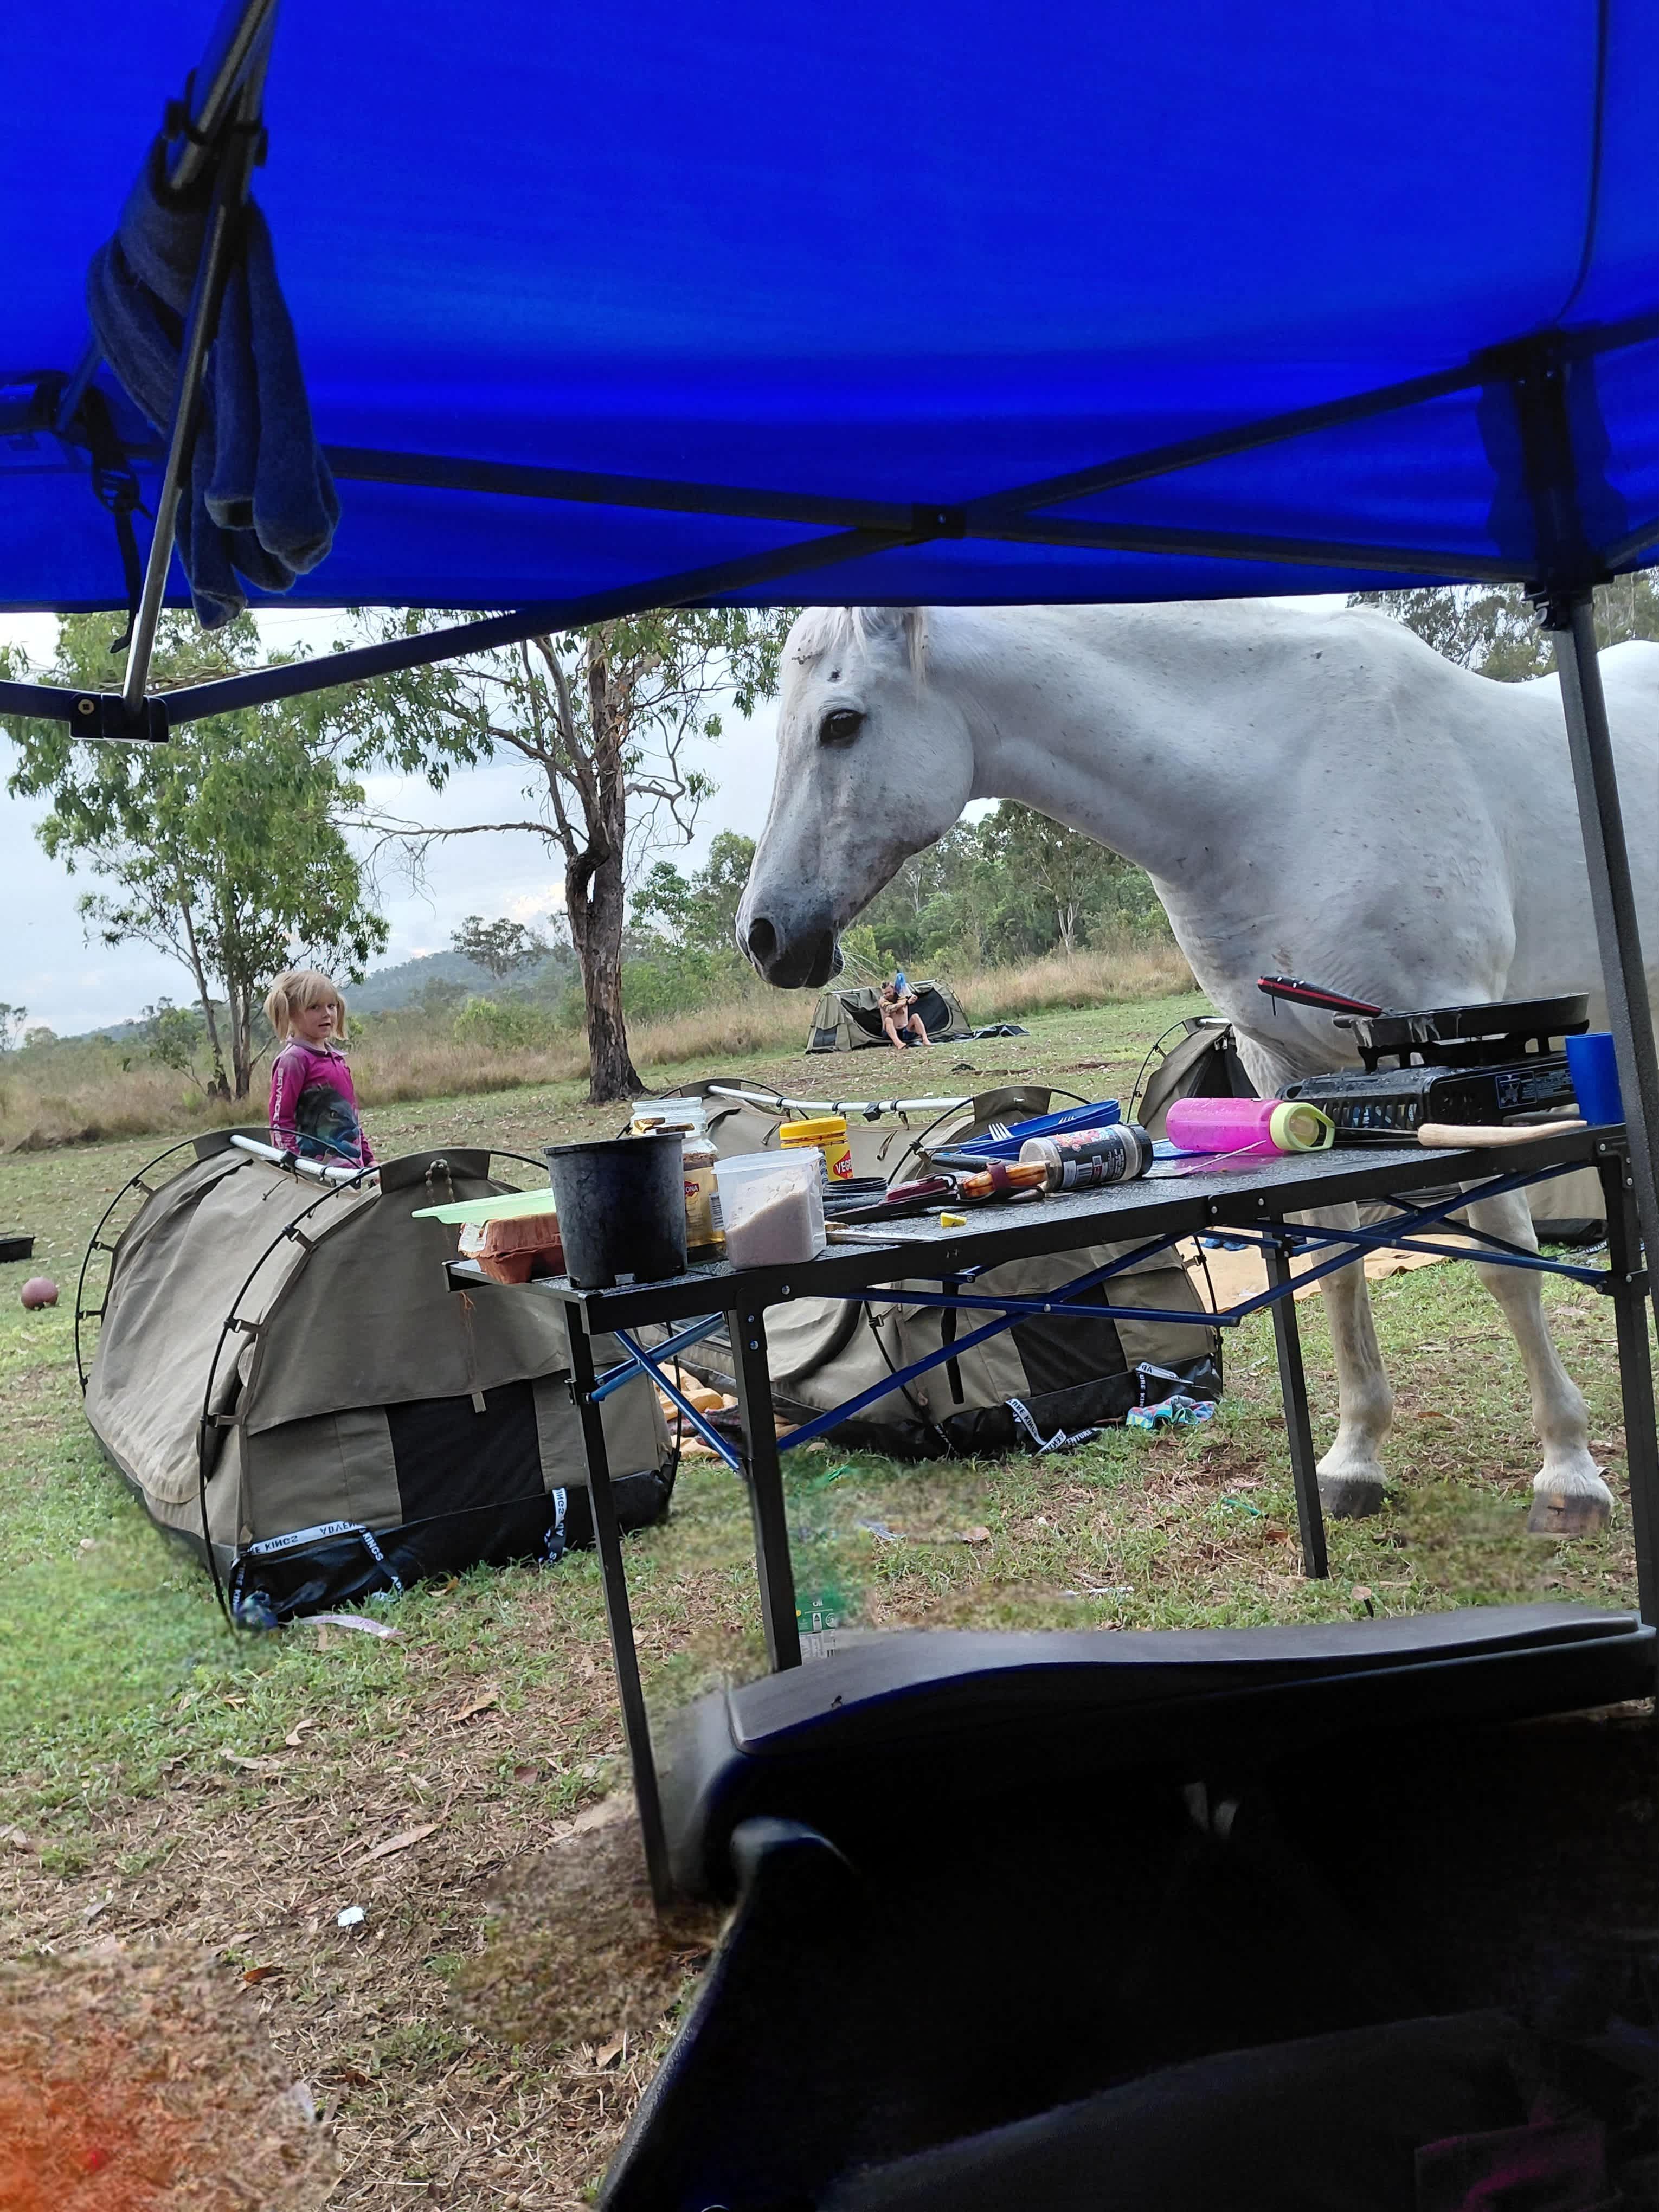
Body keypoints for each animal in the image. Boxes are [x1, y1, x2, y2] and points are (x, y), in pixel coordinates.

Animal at [736, 598, 1659, 1535]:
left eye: (842, 724)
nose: (764, 936)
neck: (1273, 790)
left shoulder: (1464, 1049)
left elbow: (1508, 1259)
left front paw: (1569, 1472)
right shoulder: (1282, 1065)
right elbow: (1336, 1265)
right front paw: (1354, 1460)